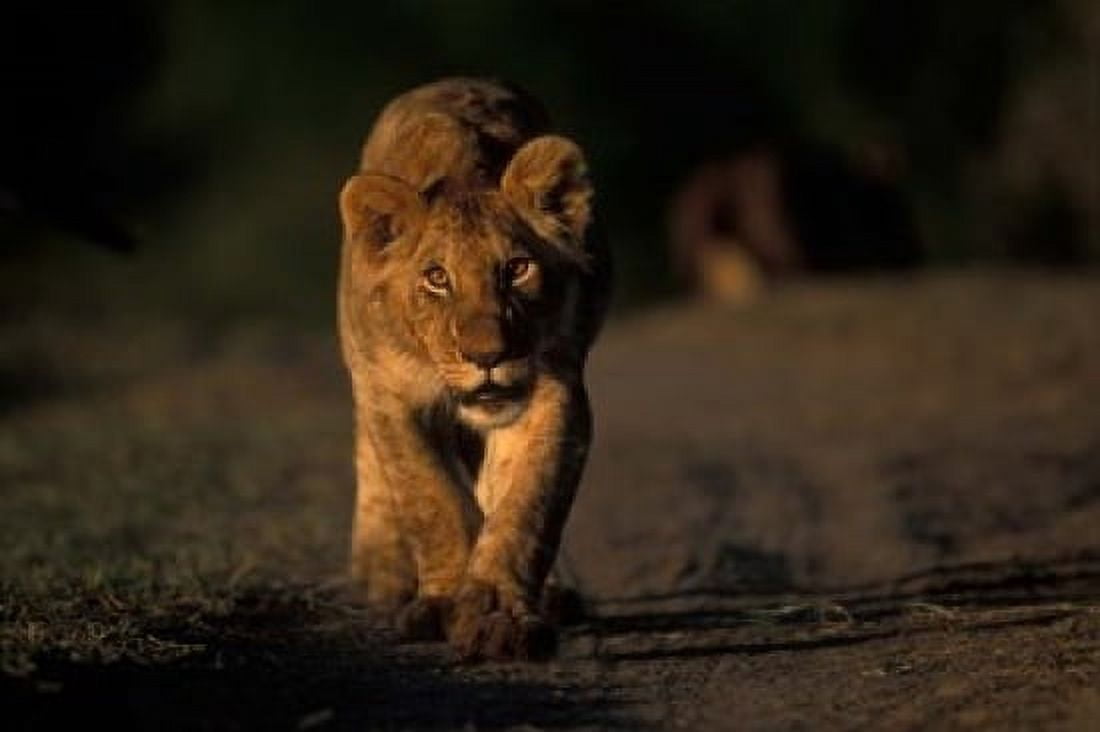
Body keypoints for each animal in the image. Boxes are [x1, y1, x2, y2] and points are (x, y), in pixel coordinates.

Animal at [337, 78, 611, 660]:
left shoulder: (555, 391)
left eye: (517, 268)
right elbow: (430, 499)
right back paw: (381, 574)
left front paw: (497, 614)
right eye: (437, 278)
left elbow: (524, 506)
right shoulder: (390, 395)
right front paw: (440, 603)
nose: (488, 356)